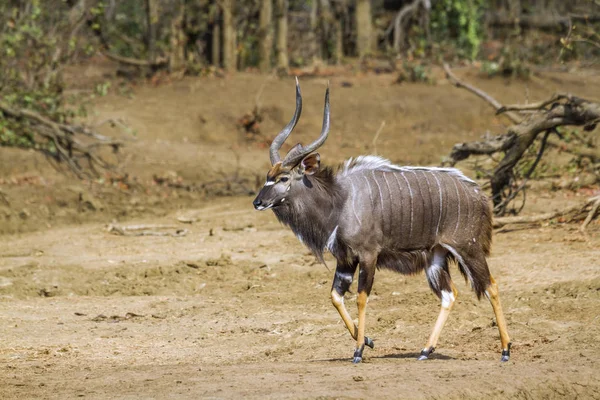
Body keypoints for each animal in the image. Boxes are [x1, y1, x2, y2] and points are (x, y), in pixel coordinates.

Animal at [253, 79, 510, 364]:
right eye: (268, 175)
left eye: (284, 178)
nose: (258, 202)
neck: (340, 200)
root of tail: (479, 194)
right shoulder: (345, 260)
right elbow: (335, 297)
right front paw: (367, 340)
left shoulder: (368, 255)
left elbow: (361, 297)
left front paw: (358, 351)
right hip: (435, 257)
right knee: (449, 294)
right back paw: (425, 350)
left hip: (468, 248)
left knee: (492, 286)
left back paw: (506, 350)